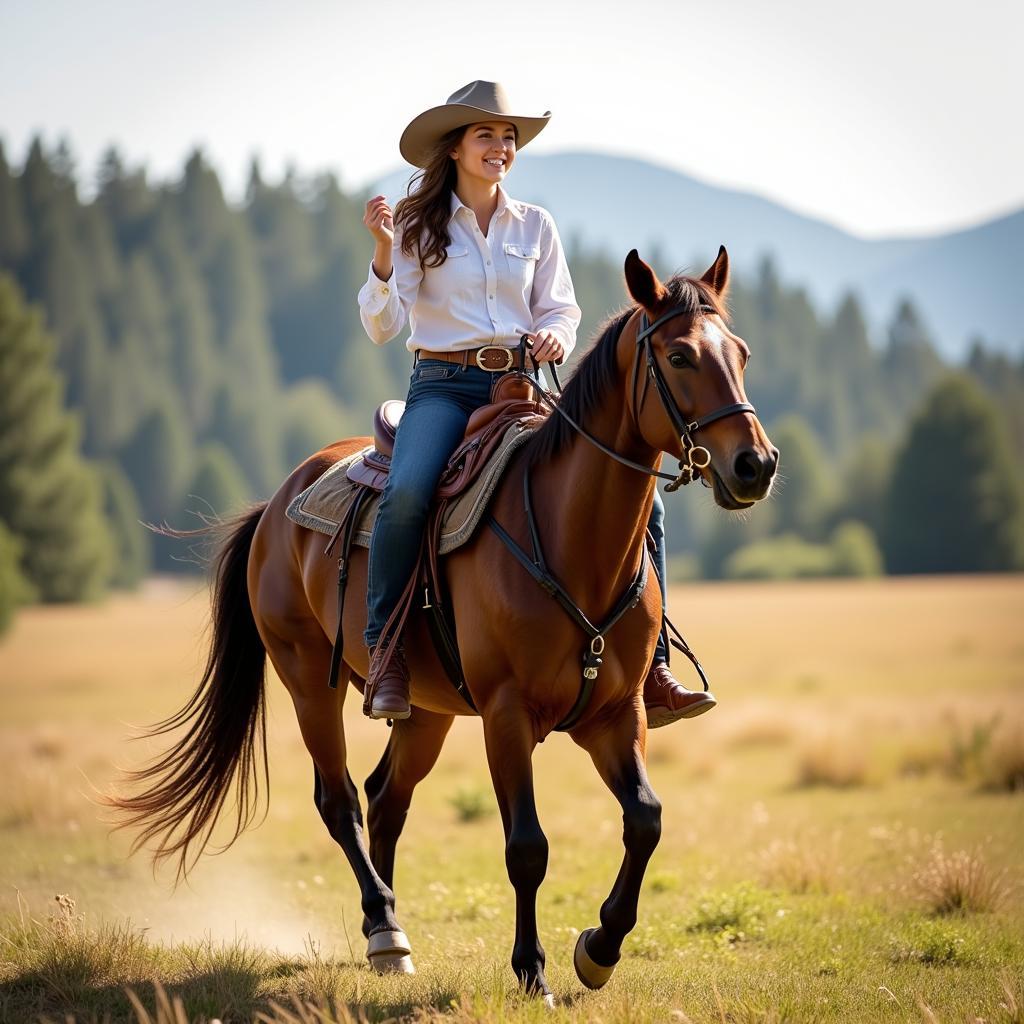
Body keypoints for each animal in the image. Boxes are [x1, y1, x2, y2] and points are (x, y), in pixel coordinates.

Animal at [110, 245, 774, 999]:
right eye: (681, 355)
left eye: (742, 352)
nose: (756, 464)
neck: (569, 540)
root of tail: (277, 504)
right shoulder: (506, 716)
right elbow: (527, 845)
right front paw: (531, 968)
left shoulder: (616, 713)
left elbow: (645, 820)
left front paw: (599, 947)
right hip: (308, 681)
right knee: (340, 800)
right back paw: (385, 926)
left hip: (424, 709)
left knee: (385, 798)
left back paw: (386, 933)